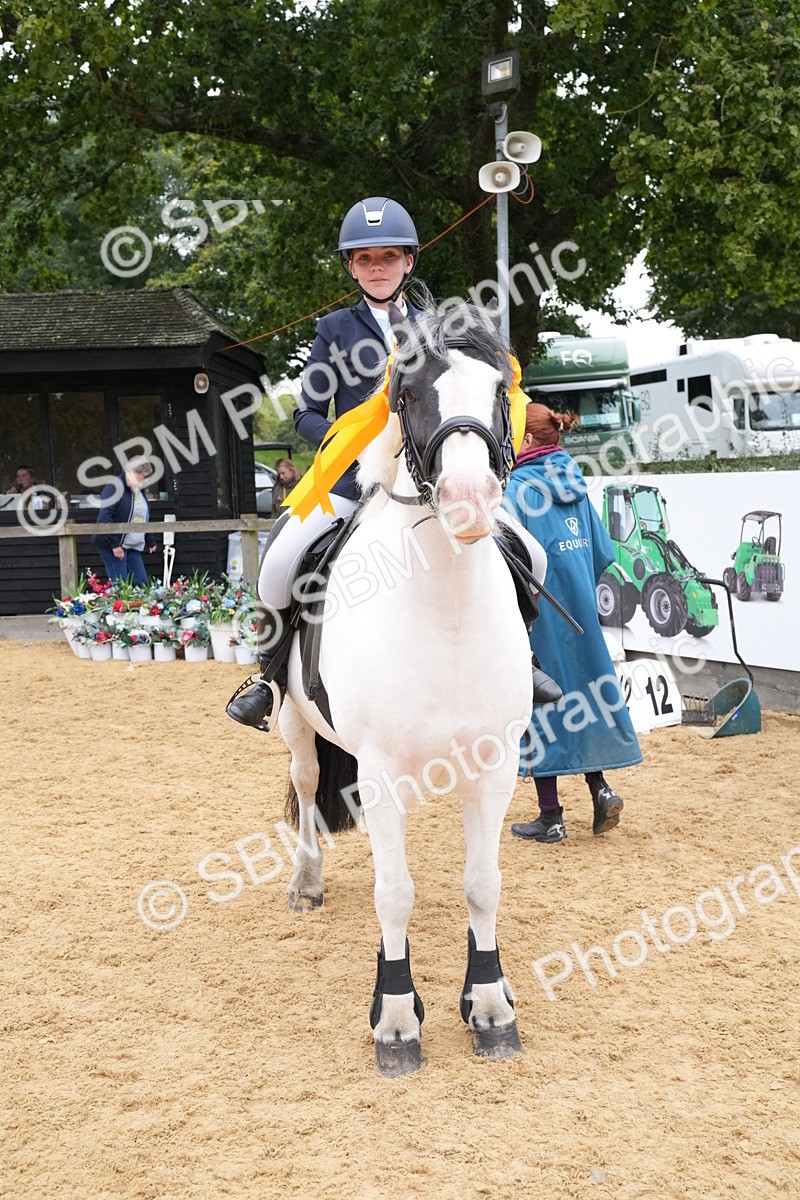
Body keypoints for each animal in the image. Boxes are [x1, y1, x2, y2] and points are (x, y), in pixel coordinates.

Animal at [278, 298, 534, 1076]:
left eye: (499, 390)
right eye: (410, 392)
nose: (467, 500)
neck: (445, 610)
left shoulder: (494, 763)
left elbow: (482, 884)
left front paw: (489, 1008)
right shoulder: (381, 768)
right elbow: (394, 894)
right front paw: (395, 1020)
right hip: (295, 725)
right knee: (306, 785)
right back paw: (307, 883)